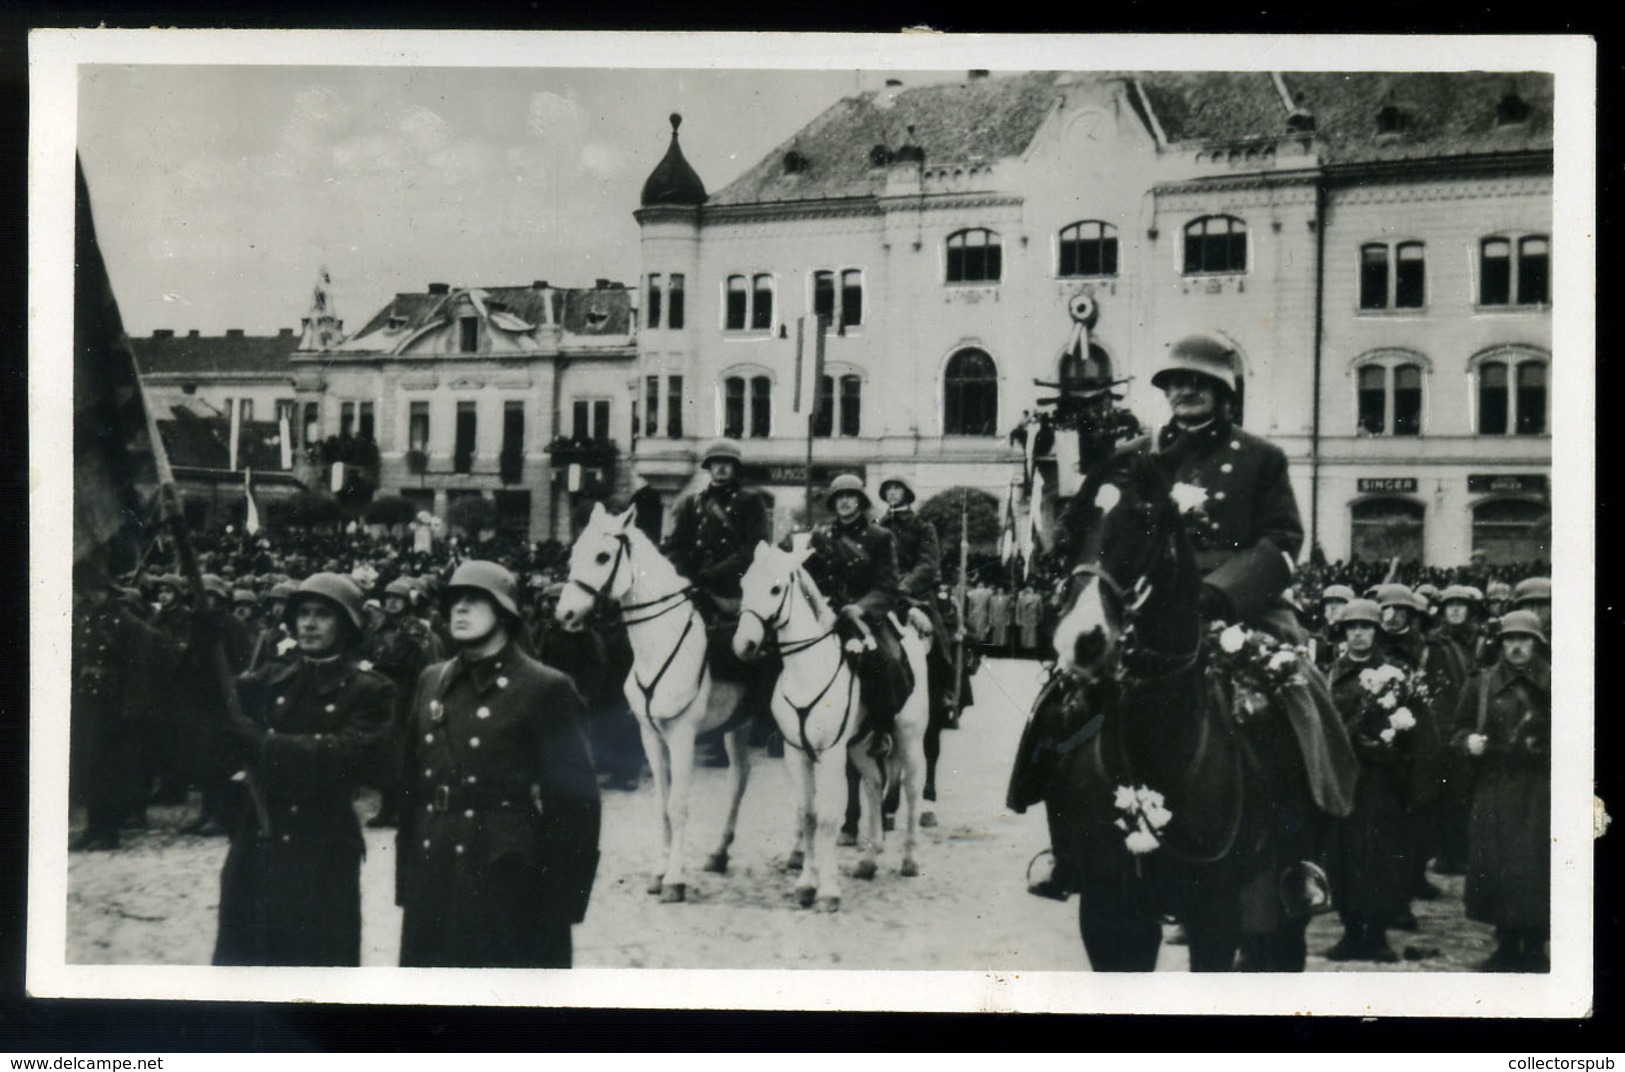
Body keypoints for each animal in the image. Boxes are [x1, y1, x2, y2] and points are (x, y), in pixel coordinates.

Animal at [555, 503, 750, 903]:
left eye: (602, 556)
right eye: (574, 553)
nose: (563, 615)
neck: (664, 639)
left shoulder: (683, 735)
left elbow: (678, 805)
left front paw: (675, 879)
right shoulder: (651, 735)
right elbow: (661, 804)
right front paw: (660, 872)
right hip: (739, 724)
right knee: (740, 778)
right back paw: (722, 853)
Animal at [734, 539, 929, 909]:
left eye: (775, 588)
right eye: (743, 585)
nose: (744, 645)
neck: (807, 669)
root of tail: (910, 636)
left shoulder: (830, 754)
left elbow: (826, 818)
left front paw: (827, 890)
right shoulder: (796, 752)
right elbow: (807, 815)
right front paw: (806, 883)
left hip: (909, 738)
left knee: (912, 789)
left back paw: (911, 860)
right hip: (862, 746)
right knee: (872, 786)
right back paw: (869, 859)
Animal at [1007, 451, 1326, 974]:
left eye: (1146, 519)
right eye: (1072, 524)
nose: (1082, 638)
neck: (1156, 752)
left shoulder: (1215, 913)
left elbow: (1277, 539)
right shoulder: (1108, 911)